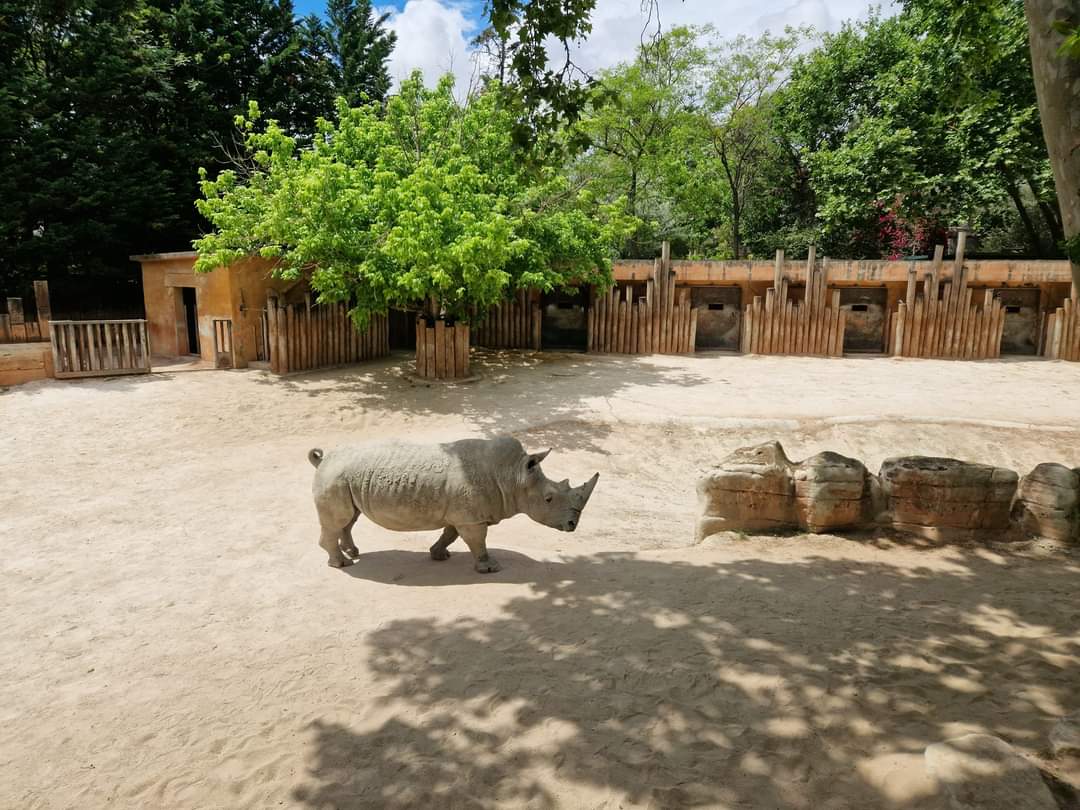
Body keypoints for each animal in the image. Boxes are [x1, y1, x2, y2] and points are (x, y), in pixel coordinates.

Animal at [308, 437, 599, 573]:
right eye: (548, 499)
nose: (572, 525)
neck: (513, 475)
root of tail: (323, 459)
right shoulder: (471, 517)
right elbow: (477, 541)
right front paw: (490, 568)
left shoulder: (462, 513)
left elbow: (450, 534)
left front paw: (438, 555)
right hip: (335, 477)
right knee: (338, 520)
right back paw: (342, 564)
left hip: (344, 479)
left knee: (349, 518)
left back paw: (352, 552)